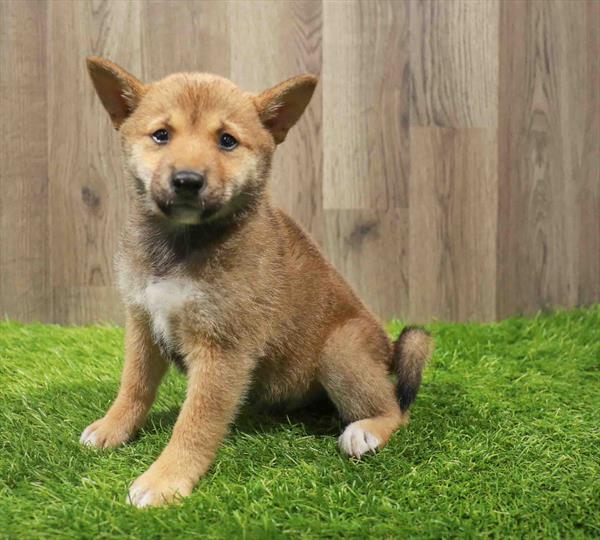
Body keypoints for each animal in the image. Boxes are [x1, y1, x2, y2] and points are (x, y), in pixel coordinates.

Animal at [82, 57, 434, 508]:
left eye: (227, 141)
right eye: (161, 135)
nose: (187, 180)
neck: (181, 246)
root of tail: (387, 348)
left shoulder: (222, 349)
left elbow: (194, 424)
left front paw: (165, 479)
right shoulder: (143, 323)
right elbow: (133, 387)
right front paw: (113, 428)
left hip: (340, 350)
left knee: (396, 409)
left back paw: (365, 431)